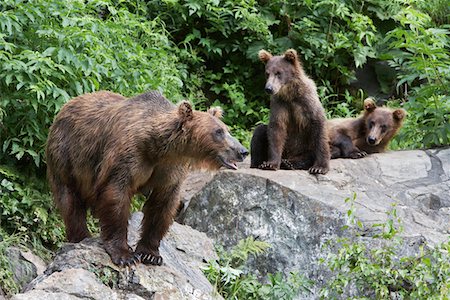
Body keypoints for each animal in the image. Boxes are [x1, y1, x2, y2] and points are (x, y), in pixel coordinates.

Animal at [46, 90, 246, 266]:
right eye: (218, 132)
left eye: (226, 129)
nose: (242, 151)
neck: (159, 148)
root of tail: (65, 106)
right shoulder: (127, 158)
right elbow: (116, 196)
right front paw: (125, 254)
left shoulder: (170, 169)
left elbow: (163, 205)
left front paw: (151, 254)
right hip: (67, 156)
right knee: (70, 201)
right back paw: (81, 237)